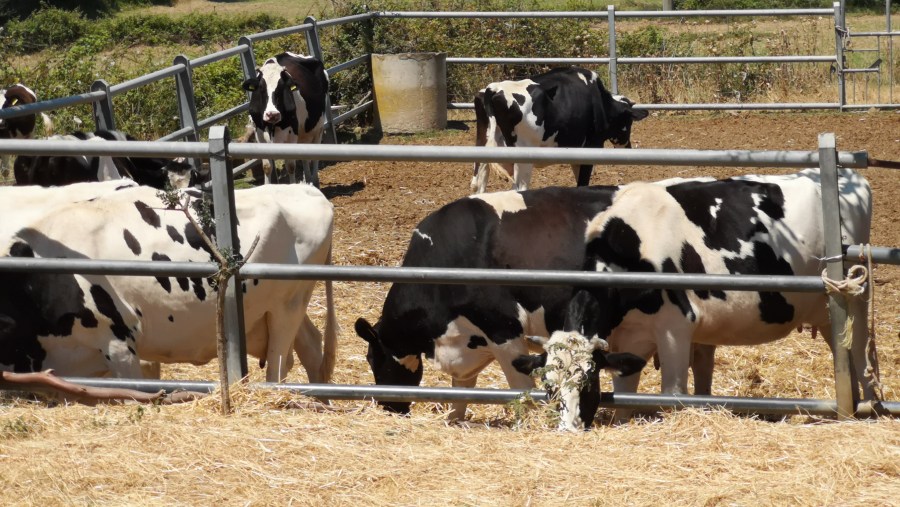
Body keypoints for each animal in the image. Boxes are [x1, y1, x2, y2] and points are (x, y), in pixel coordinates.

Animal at [0, 181, 338, 382]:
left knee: (279, 367)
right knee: (311, 346)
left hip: (286, 308)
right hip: (278, 309)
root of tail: (306, 190)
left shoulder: (119, 343)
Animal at [243, 52, 330, 187]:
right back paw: (308, 180)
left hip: (318, 128)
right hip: (302, 133)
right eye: (261, 87)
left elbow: (290, 166)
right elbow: (267, 166)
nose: (272, 114)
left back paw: (314, 182)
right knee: (305, 154)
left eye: (281, 88)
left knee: (315, 154)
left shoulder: (292, 132)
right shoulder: (259, 133)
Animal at [472, 67, 648, 194]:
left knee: (478, 185)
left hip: (482, 149)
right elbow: (582, 183)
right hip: (523, 157)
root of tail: (494, 88)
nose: (628, 146)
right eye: (628, 121)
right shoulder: (591, 145)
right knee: (518, 189)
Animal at [512, 169, 872, 430]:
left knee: (859, 354)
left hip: (852, 300)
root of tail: (850, 177)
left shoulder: (675, 329)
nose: (569, 429)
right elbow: (625, 396)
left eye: (587, 382)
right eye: (549, 387)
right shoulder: (626, 338)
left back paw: (866, 408)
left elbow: (672, 393)